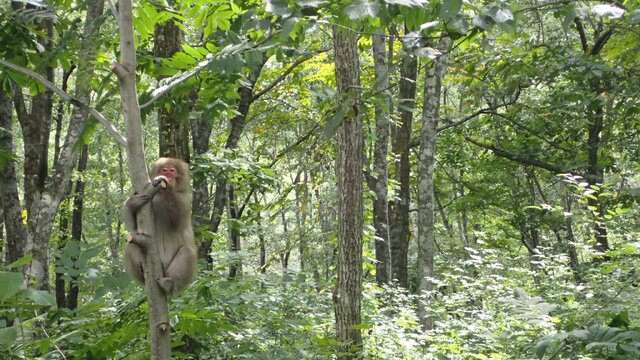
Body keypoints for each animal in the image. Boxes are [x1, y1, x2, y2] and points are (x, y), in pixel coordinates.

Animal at [123, 158, 198, 296]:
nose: (168, 175)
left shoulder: (186, 199)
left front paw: (167, 186)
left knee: (188, 252)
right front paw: (132, 203)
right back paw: (142, 271)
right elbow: (134, 228)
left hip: (170, 273)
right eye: (164, 170)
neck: (161, 195)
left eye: (172, 171)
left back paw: (169, 286)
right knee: (132, 244)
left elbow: (176, 220)